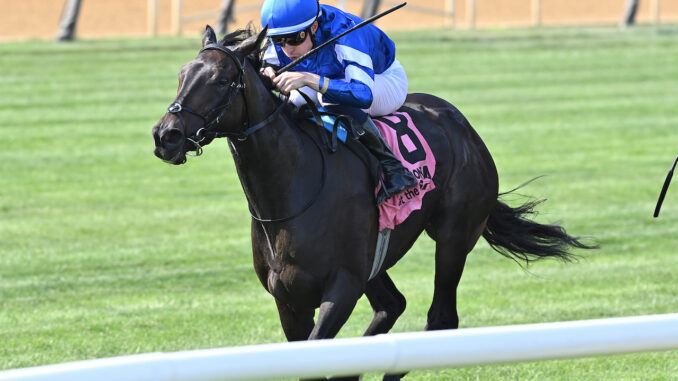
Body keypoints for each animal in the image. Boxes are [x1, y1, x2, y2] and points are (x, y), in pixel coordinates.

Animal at [151, 25, 592, 378]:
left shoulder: (342, 286)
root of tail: (462, 124)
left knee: (440, 318)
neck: (291, 192)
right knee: (391, 306)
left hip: (453, 235)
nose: (166, 135)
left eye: (222, 80)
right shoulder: (289, 298)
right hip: (374, 260)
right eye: (182, 75)